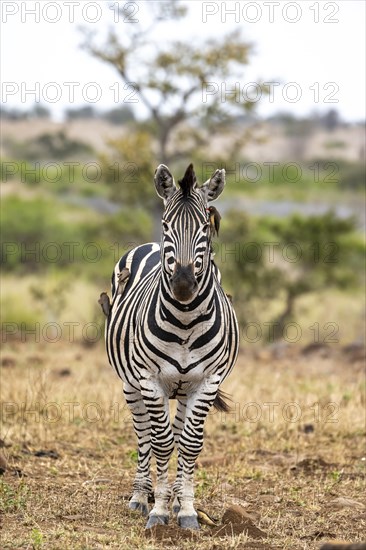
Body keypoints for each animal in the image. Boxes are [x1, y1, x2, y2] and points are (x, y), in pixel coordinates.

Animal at [104, 164, 239, 532]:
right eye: (166, 225)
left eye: (205, 227)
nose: (182, 285)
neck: (185, 321)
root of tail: (148, 245)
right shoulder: (150, 380)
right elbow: (161, 442)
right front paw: (159, 511)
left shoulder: (208, 381)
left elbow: (189, 443)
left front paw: (186, 510)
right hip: (131, 384)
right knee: (144, 435)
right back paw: (141, 497)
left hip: (183, 388)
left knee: (177, 432)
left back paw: (176, 498)